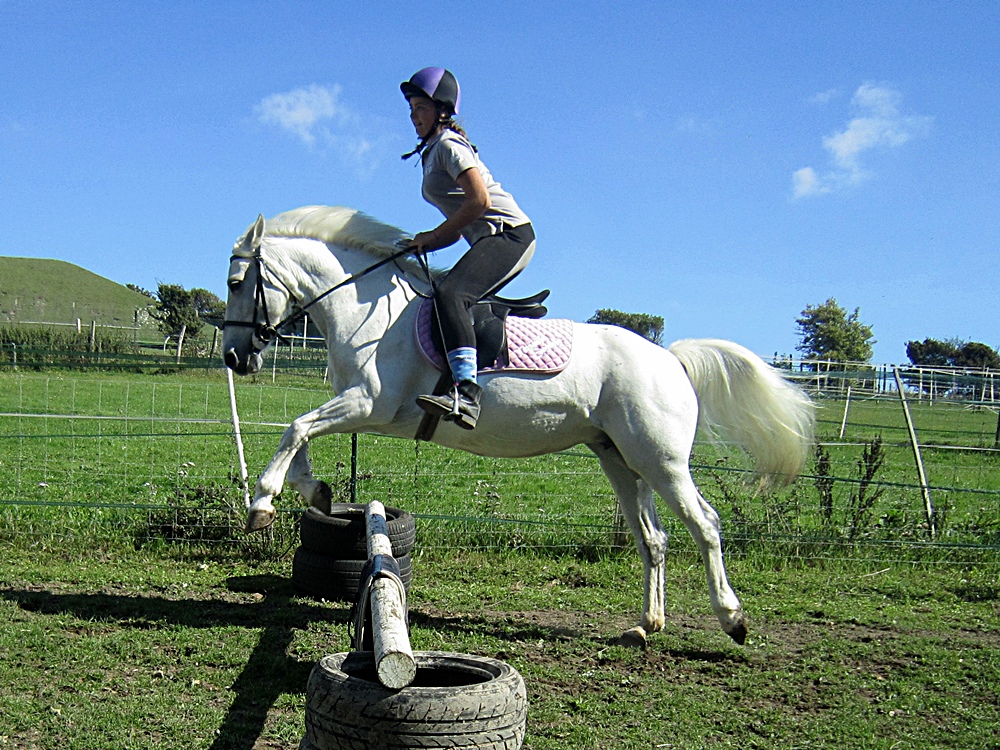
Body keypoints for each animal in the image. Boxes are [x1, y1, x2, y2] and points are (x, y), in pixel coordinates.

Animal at [222, 205, 815, 647]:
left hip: (661, 461)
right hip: (620, 459)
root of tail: (671, 358)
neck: (368, 311)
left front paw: (263, 503)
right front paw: (314, 491)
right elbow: (299, 431)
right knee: (655, 539)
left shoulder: (369, 405)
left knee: (706, 526)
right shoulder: (355, 407)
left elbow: (295, 427)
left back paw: (733, 620)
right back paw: (647, 625)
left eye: (236, 281)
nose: (233, 356)